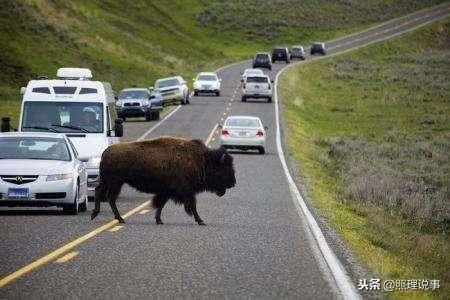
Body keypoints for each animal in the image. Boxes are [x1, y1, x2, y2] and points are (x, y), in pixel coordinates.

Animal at [89, 136, 236, 225]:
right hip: (115, 182)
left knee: (100, 192)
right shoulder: (186, 191)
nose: (233, 183)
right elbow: (192, 205)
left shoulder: (167, 191)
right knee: (109, 197)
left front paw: (159, 220)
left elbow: (161, 204)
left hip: (109, 181)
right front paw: (200, 221)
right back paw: (118, 218)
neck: (201, 160)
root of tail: (106, 151)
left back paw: (99, 215)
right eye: (224, 168)